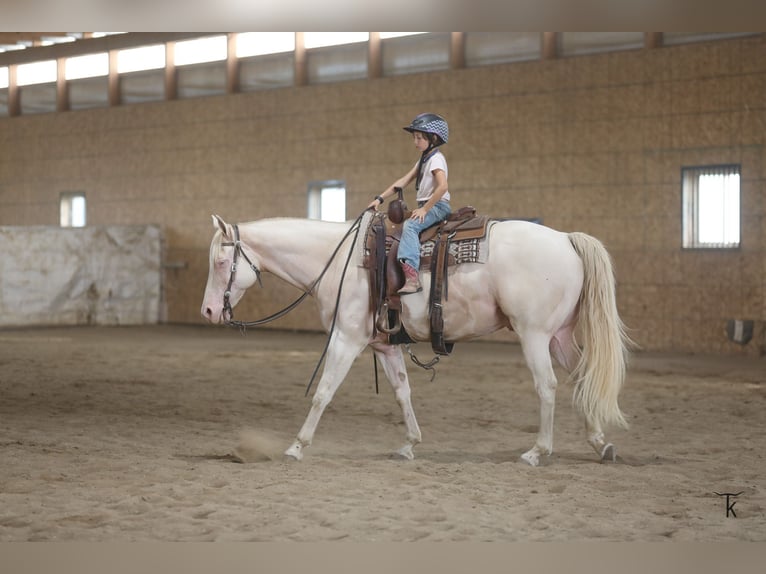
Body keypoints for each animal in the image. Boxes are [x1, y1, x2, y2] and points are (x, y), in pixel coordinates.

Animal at [201, 212, 630, 466]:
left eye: (221, 262)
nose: (208, 311)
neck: (340, 262)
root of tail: (566, 239)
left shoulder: (345, 339)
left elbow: (323, 391)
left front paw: (296, 446)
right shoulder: (384, 344)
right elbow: (402, 392)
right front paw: (410, 443)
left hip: (535, 335)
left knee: (548, 386)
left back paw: (538, 451)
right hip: (559, 336)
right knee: (581, 380)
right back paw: (600, 444)